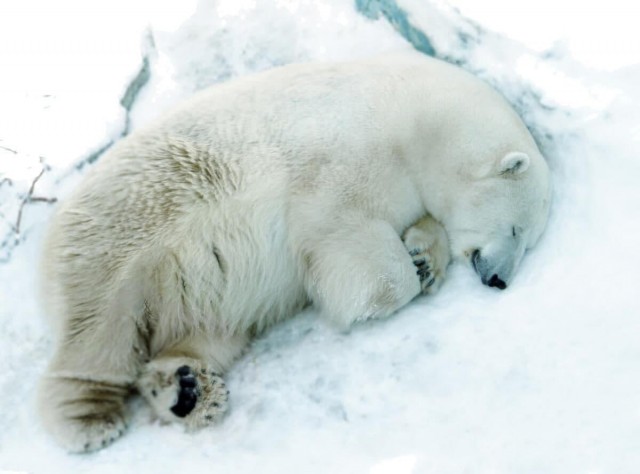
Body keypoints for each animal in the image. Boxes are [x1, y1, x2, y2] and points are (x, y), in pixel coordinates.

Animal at [37, 51, 551, 452]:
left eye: (528, 239)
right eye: (518, 229)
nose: (500, 279)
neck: (414, 116)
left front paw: (424, 258)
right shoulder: (342, 156)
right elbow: (343, 234)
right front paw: (380, 292)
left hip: (195, 293)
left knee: (207, 332)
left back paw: (187, 390)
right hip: (130, 229)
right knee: (101, 326)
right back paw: (91, 420)